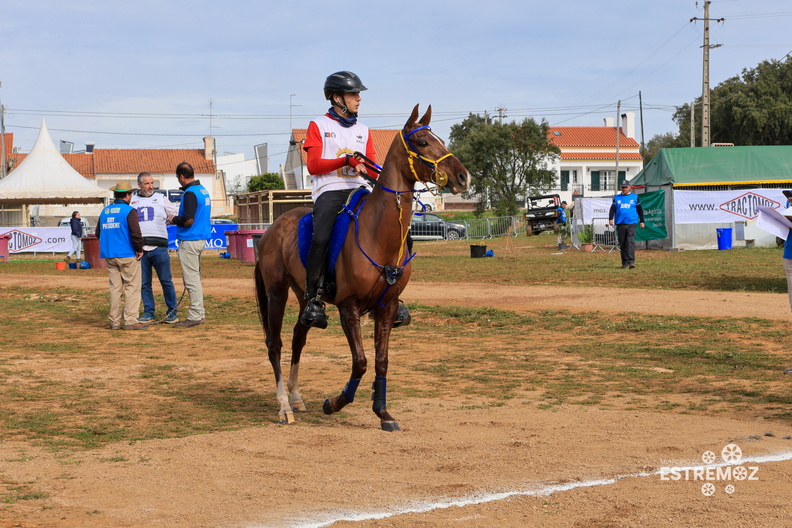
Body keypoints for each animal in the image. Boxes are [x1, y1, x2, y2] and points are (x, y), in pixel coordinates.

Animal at [254, 105, 470, 432]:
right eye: (422, 143)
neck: (376, 233)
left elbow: (381, 361)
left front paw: (383, 413)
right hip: (276, 293)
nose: (463, 176)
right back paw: (283, 406)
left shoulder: (387, 306)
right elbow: (360, 361)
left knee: (297, 338)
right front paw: (334, 403)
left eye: (441, 140)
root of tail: (270, 231)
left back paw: (296, 397)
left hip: (304, 296)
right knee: (275, 344)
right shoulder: (349, 306)